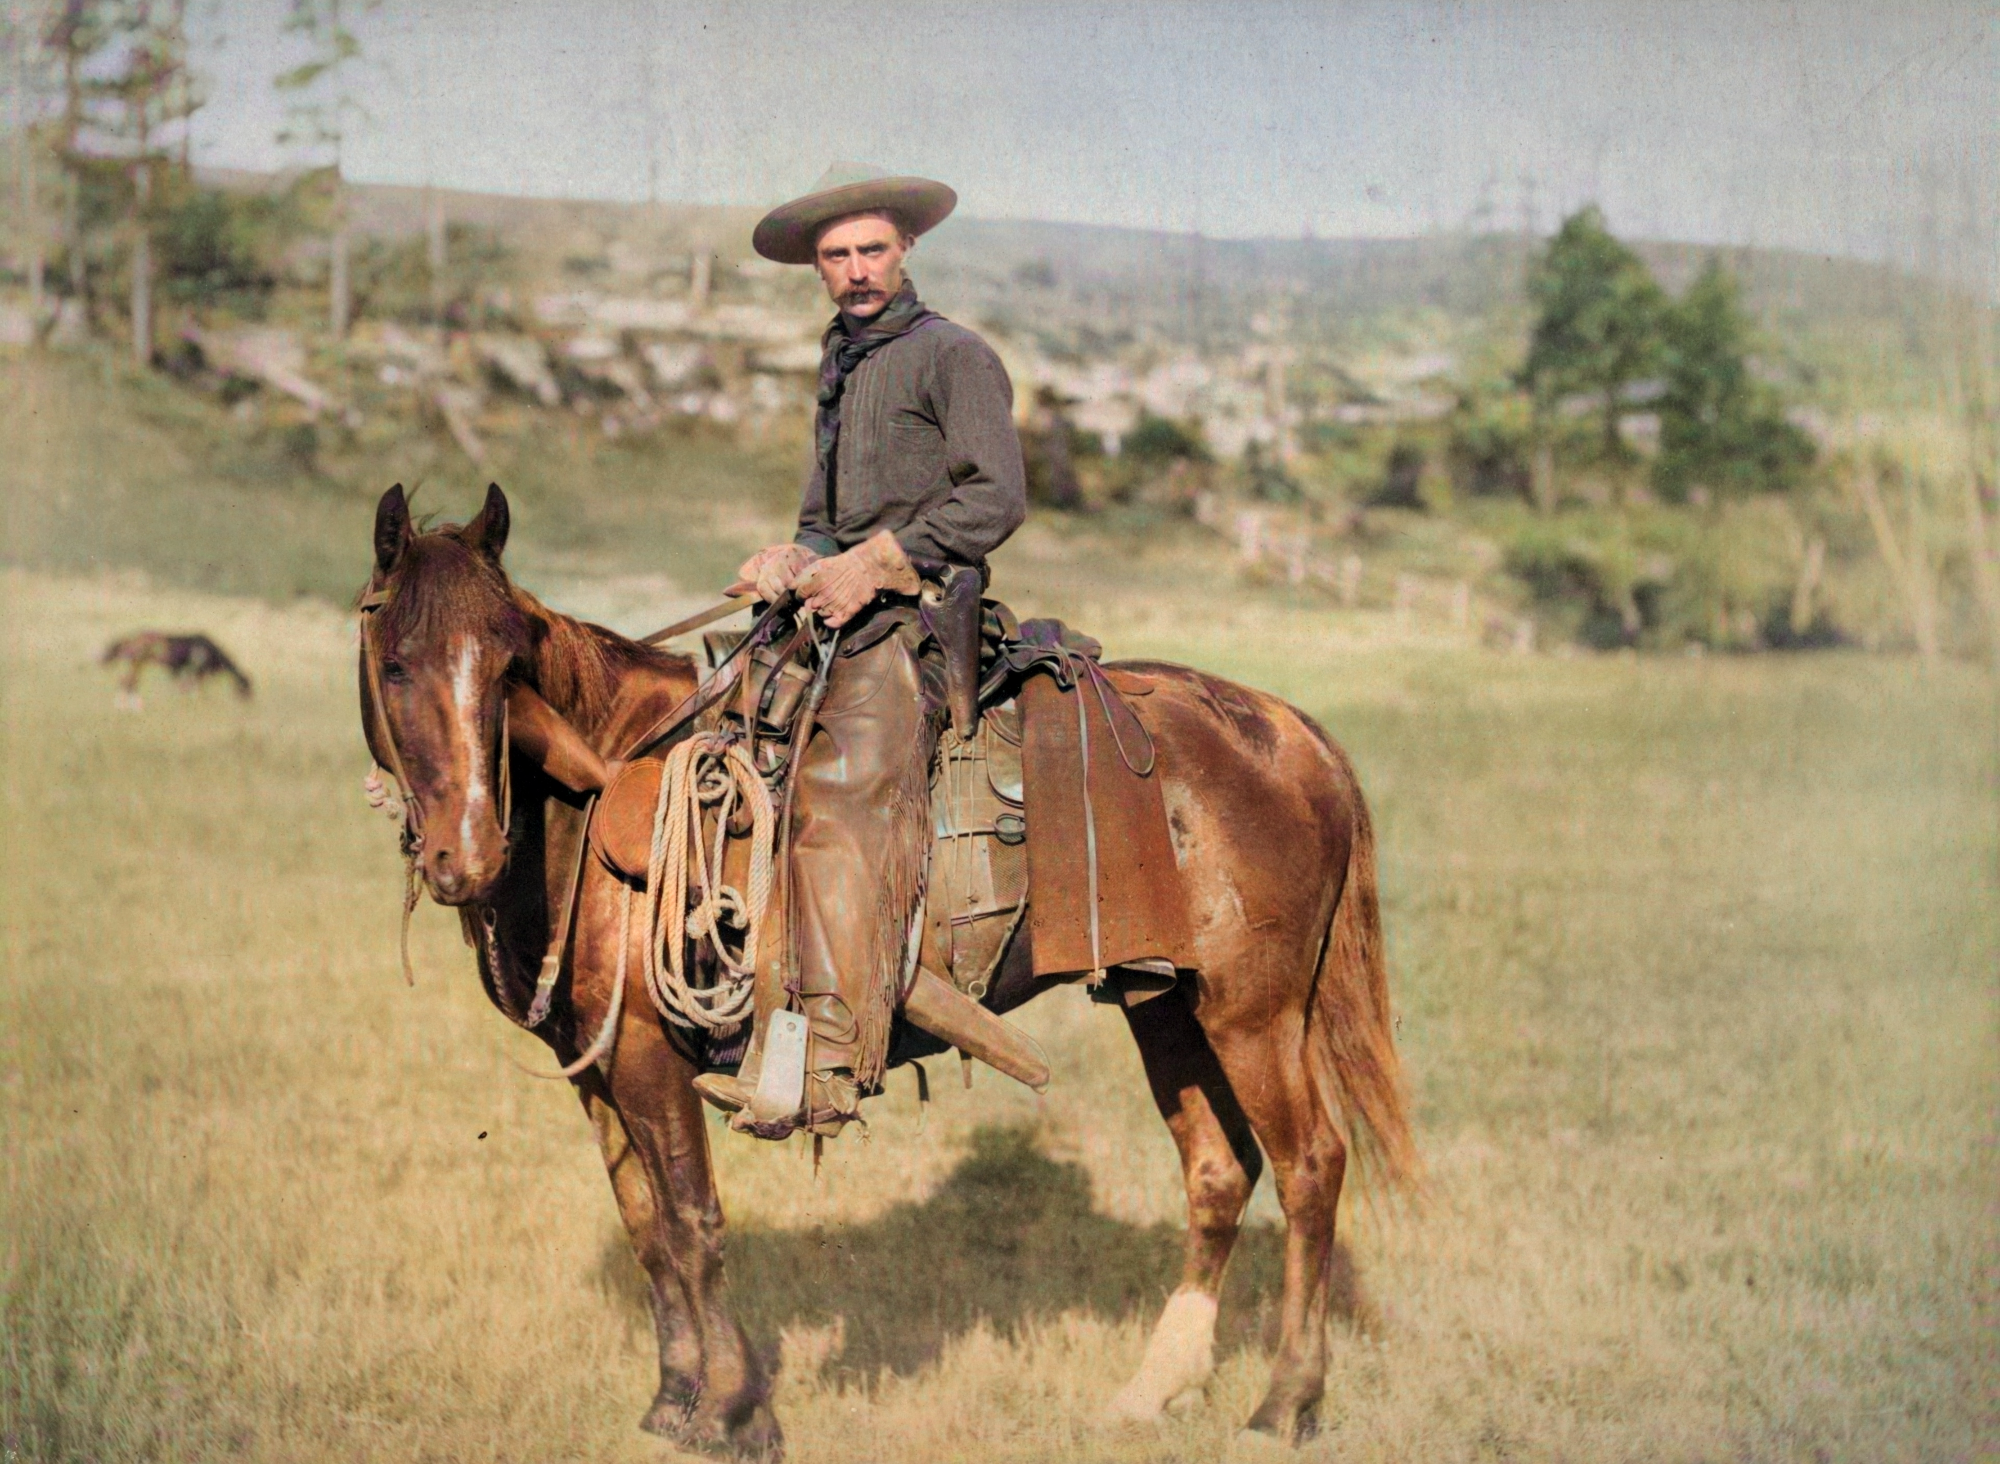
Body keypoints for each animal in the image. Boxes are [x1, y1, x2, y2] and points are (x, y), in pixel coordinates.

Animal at [103, 628, 252, 704]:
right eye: (245, 687)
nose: (248, 702)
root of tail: (133, 638)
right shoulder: (199, 672)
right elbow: (193, 689)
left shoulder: (194, 672)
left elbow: (188, 688)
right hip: (138, 662)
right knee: (128, 682)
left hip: (137, 663)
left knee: (128, 682)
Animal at [364, 484, 1424, 1456]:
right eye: (396, 664)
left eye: (510, 666)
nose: (467, 855)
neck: (593, 798)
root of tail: (1292, 733)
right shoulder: (597, 1066)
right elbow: (645, 1228)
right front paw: (672, 1402)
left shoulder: (651, 1062)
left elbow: (695, 1226)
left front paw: (734, 1411)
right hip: (1165, 1002)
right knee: (1217, 1170)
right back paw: (1152, 1389)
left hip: (1254, 1012)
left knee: (1310, 1166)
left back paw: (1286, 1402)